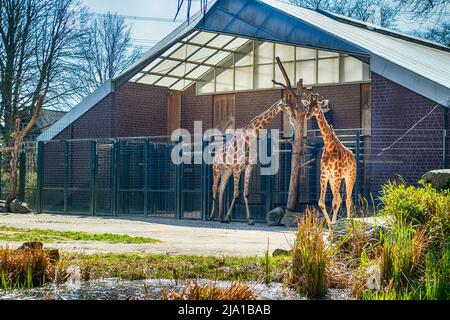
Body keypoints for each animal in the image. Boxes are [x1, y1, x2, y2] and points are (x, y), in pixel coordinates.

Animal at [304, 94, 356, 231]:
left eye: (317, 106)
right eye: (307, 105)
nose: (307, 115)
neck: (328, 145)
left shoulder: (337, 174)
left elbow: (334, 202)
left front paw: (334, 227)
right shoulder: (325, 175)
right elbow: (321, 202)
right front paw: (332, 229)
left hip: (349, 177)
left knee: (347, 200)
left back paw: (348, 223)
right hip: (333, 180)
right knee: (339, 199)